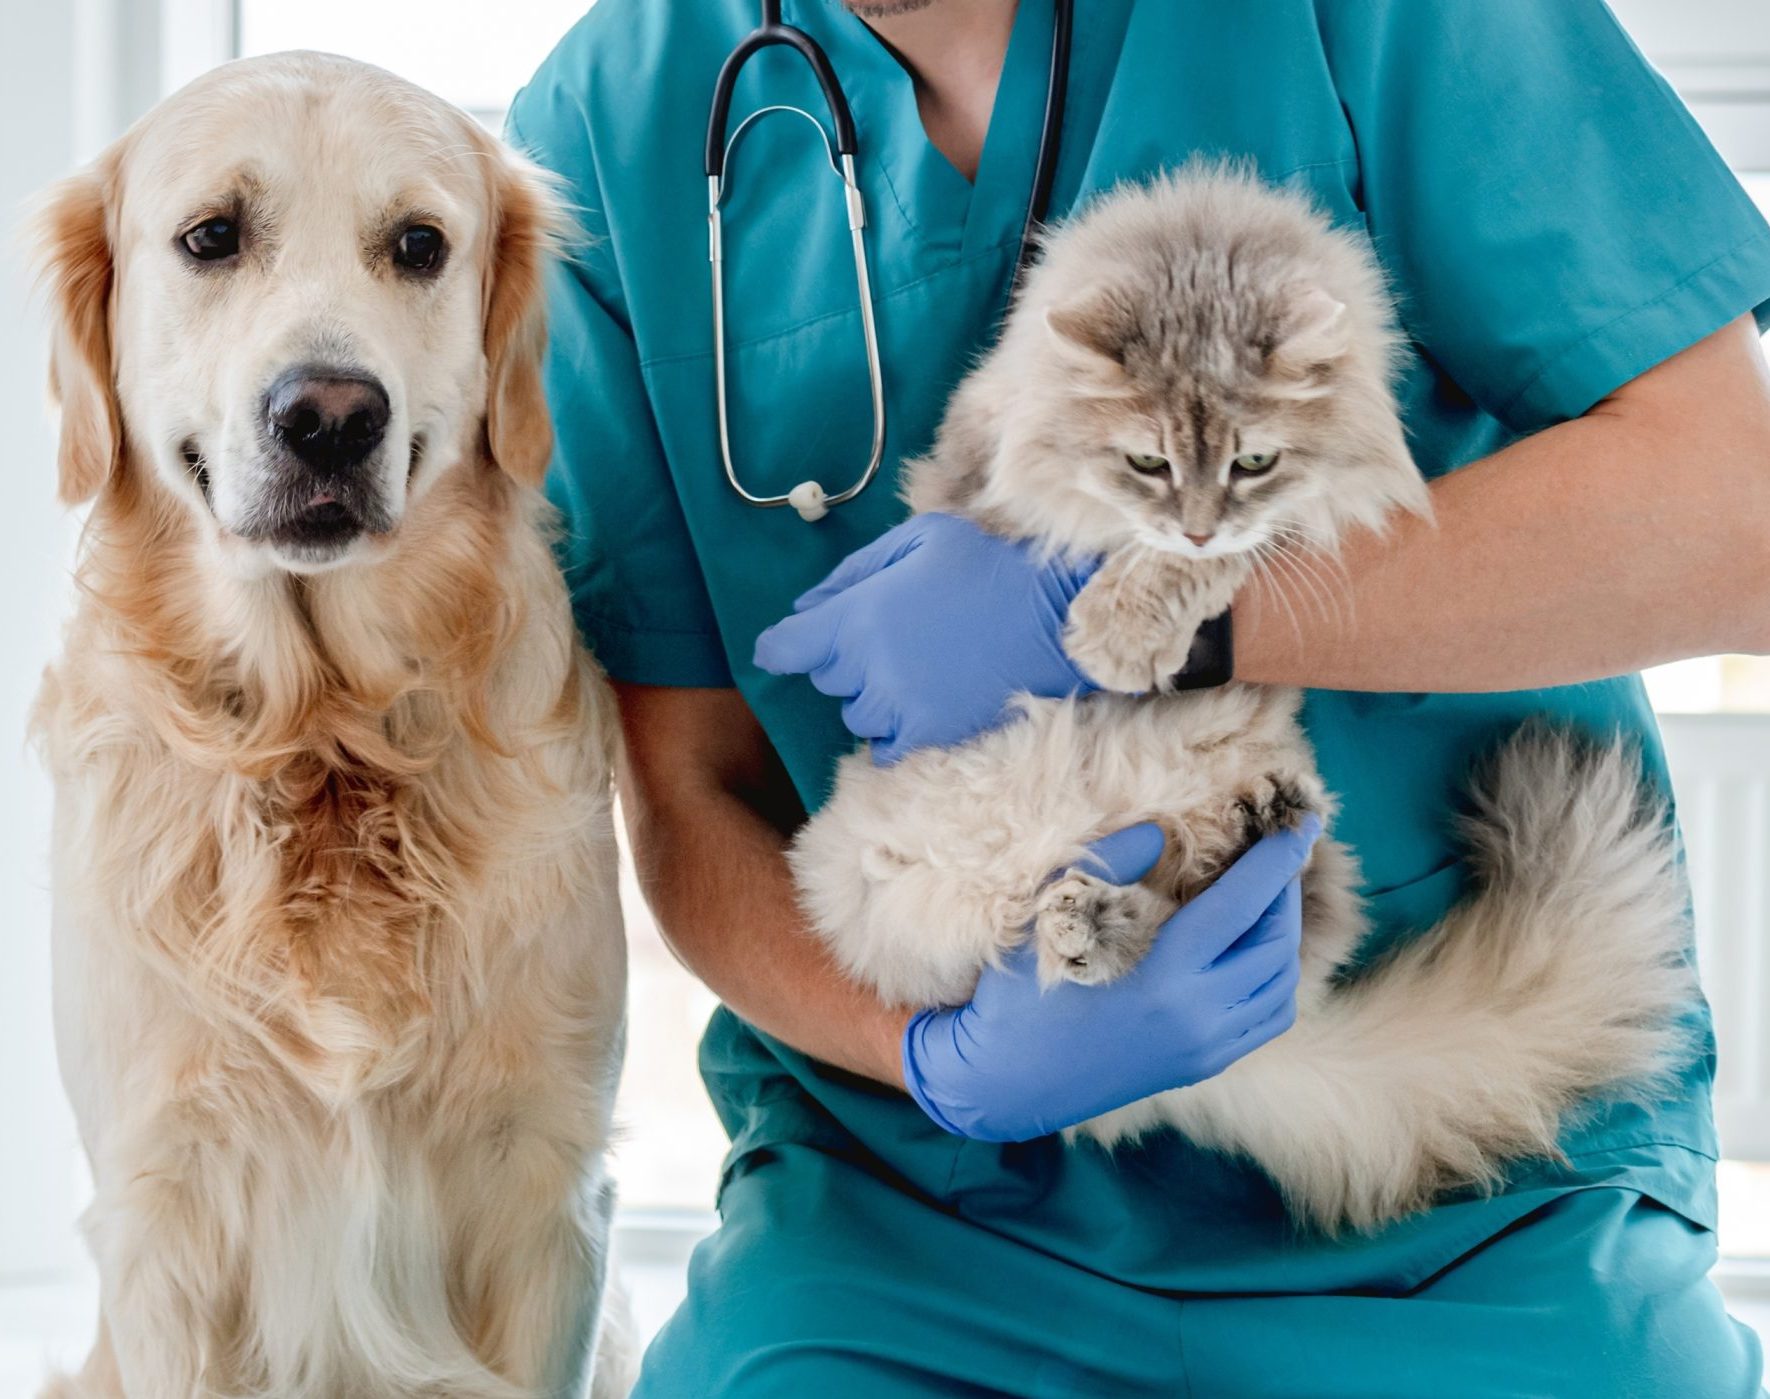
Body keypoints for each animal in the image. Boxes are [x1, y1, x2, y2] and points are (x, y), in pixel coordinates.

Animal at [31, 49, 633, 1395]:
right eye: (211, 236)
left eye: (419, 245)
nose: (331, 415)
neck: (324, 735)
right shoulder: (164, 1205)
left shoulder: (546, 1192)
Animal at [792, 170, 1699, 1232]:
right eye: (1147, 462)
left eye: (1252, 462)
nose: (1193, 524)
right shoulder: (992, 476)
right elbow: (1094, 529)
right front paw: (1104, 616)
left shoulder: (1301, 505)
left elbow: (1225, 556)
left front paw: (1119, 628)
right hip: (904, 898)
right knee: (1065, 957)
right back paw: (1092, 935)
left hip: (1273, 852)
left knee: (1199, 905)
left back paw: (1222, 837)